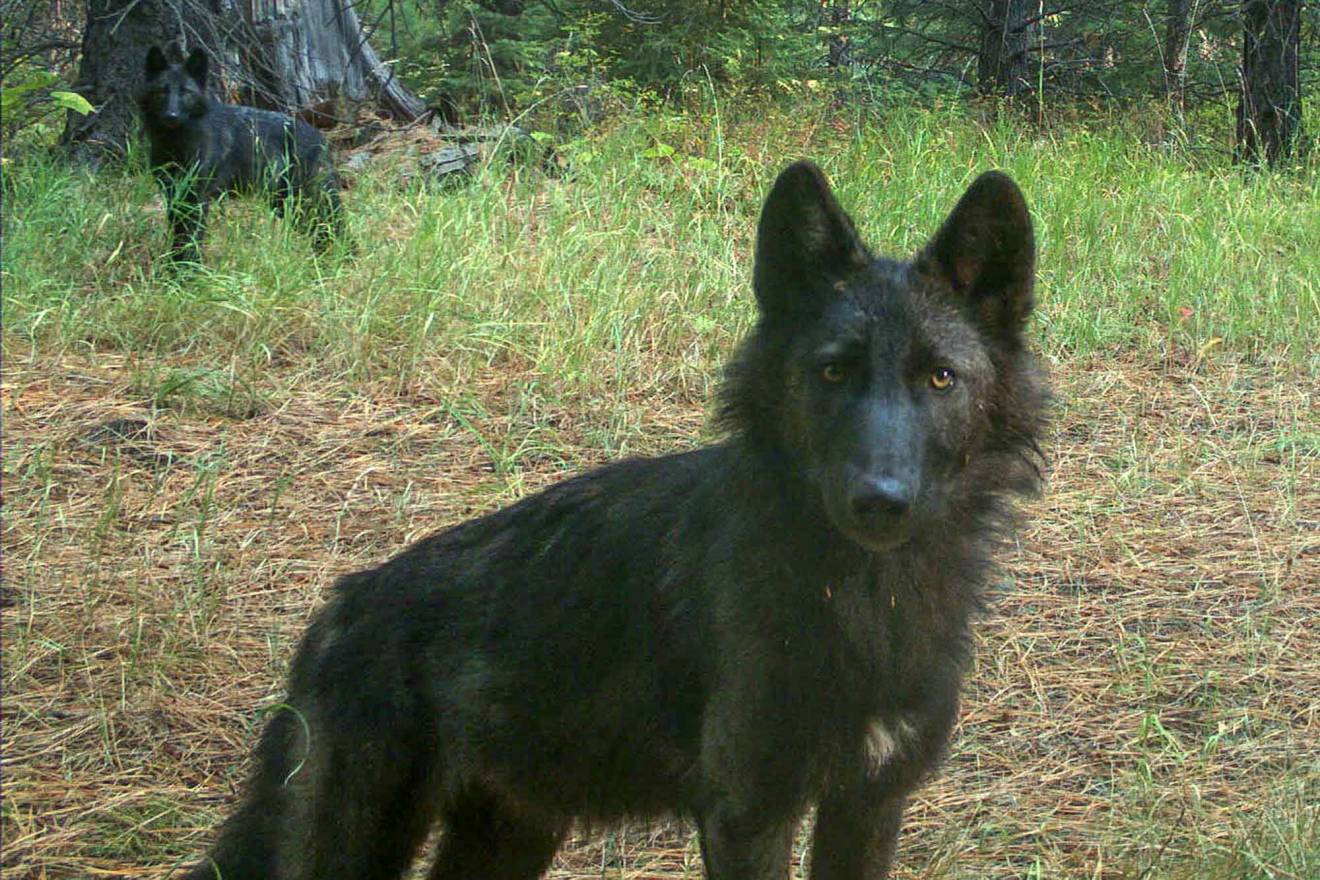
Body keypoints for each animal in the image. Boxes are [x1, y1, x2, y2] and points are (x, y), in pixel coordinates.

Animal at [139, 46, 345, 264]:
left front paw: (188, 268)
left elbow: (191, 238)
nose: (171, 116)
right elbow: (179, 238)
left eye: (186, 92)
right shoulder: (174, 197)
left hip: (306, 201)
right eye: (162, 91)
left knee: (335, 229)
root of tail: (321, 138)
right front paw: (173, 267)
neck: (176, 143)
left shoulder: (197, 200)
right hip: (285, 205)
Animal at [181, 161, 1047, 880]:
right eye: (833, 372)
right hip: (361, 848)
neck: (868, 600)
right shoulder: (748, 815)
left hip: (509, 841)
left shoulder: (868, 806)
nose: (880, 498)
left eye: (940, 378)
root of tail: (340, 605)